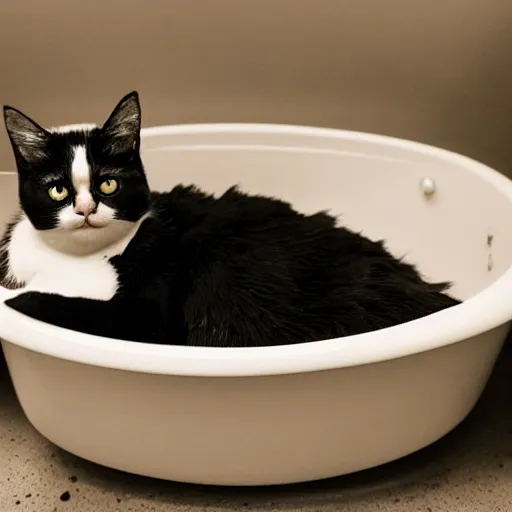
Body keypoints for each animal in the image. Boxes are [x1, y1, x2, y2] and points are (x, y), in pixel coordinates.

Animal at [0, 92, 460, 348]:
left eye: (108, 184)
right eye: (58, 189)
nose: (85, 210)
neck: (75, 261)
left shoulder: (147, 314)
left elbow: (43, 300)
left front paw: (17, 302)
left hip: (227, 269)